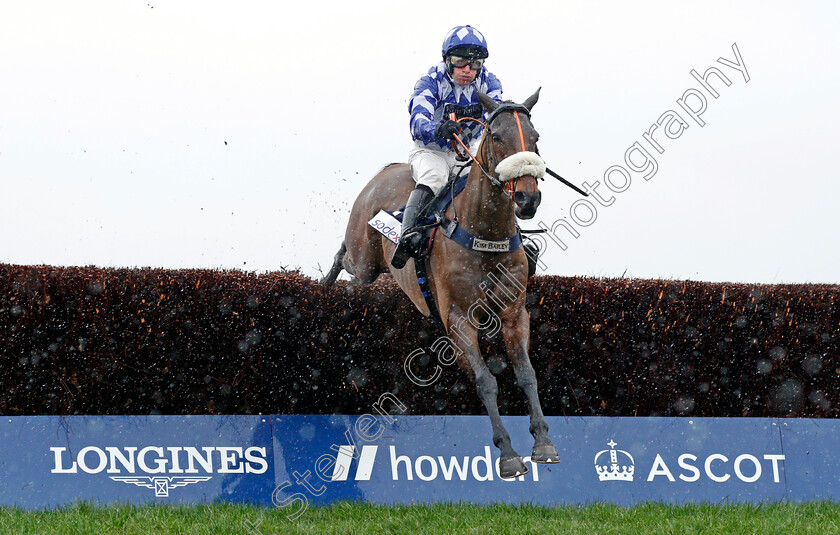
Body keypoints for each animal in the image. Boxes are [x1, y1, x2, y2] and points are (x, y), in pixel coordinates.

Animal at [322, 90, 556, 480]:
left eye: (536, 138)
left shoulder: (513, 312)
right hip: (364, 260)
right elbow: (486, 381)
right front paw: (508, 453)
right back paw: (323, 285)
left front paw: (542, 442)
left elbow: (527, 374)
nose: (527, 199)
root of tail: (383, 173)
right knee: (343, 257)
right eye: (496, 137)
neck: (484, 232)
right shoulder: (458, 319)